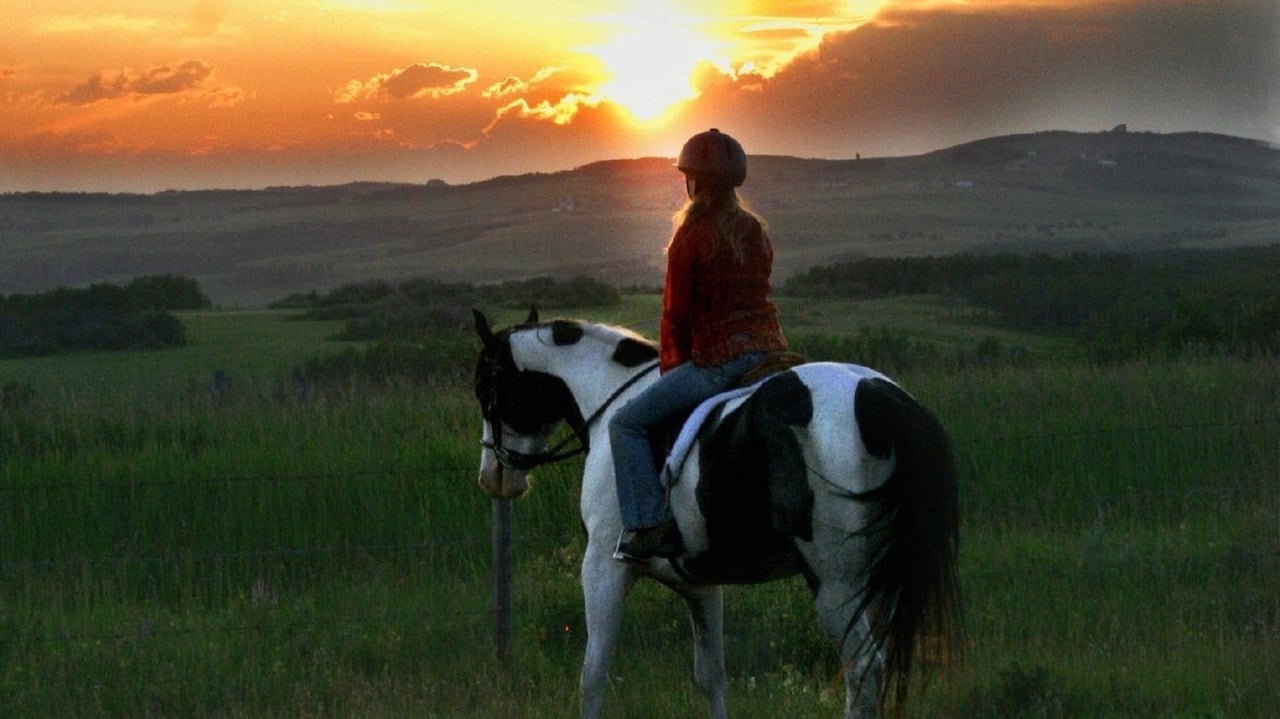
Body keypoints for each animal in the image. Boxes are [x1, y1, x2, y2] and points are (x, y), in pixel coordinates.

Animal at [471, 307, 962, 716]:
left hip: (839, 583)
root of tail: (885, 401)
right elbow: (711, 678)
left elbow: (592, 676)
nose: (492, 477)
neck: (610, 400)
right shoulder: (700, 584)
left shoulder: (603, 567)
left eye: (485, 389)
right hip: (878, 580)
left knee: (862, 672)